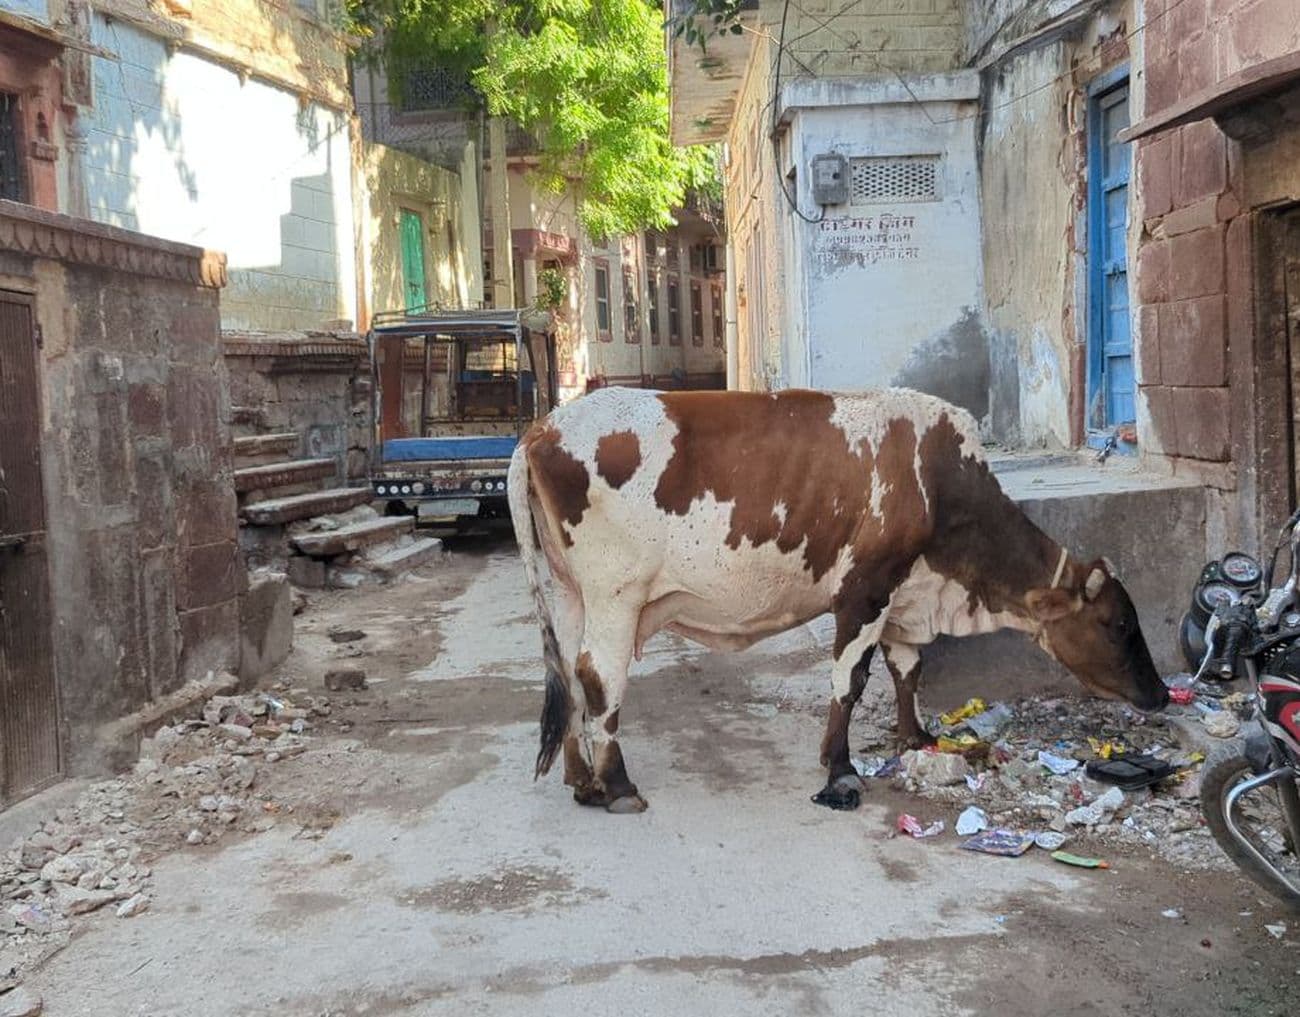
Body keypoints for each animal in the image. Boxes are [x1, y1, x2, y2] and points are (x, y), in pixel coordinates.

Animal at [504, 387, 1170, 816]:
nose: (1161, 694)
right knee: (598, 678)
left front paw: (916, 737)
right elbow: (849, 681)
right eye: (1118, 623)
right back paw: (616, 785)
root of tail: (541, 429)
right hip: (615, 595)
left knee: (568, 674)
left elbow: (908, 669)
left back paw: (581, 780)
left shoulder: (902, 595)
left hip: (568, 593)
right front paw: (840, 768)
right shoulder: (865, 590)